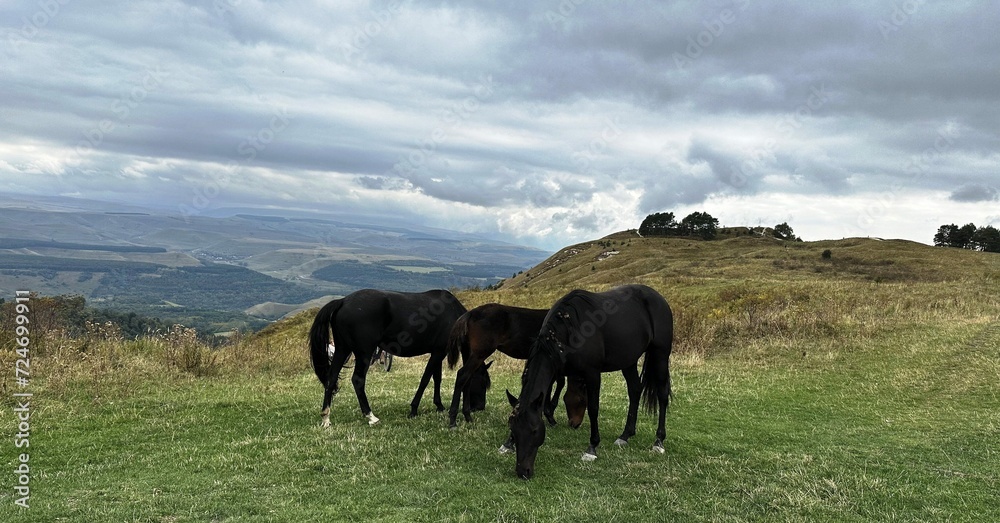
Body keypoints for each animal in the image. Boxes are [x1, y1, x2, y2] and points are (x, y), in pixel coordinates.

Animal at [308, 289, 488, 427]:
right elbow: (425, 379)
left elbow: (436, 378)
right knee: (357, 380)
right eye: (483, 383)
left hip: (342, 349)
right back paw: (370, 416)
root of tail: (343, 301)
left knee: (331, 378)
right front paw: (414, 409)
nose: (480, 407)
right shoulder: (439, 352)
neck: (453, 314)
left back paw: (326, 418)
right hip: (364, 353)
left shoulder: (437, 352)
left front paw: (439, 405)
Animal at [507, 284, 673, 479]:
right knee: (635, 390)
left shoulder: (592, 374)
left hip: (660, 354)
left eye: (534, 431)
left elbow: (593, 409)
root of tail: (658, 298)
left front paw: (592, 447)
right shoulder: (556, 371)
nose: (523, 471)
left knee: (662, 394)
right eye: (514, 430)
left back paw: (659, 441)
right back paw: (625, 435)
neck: (569, 329)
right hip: (629, 361)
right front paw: (507, 444)